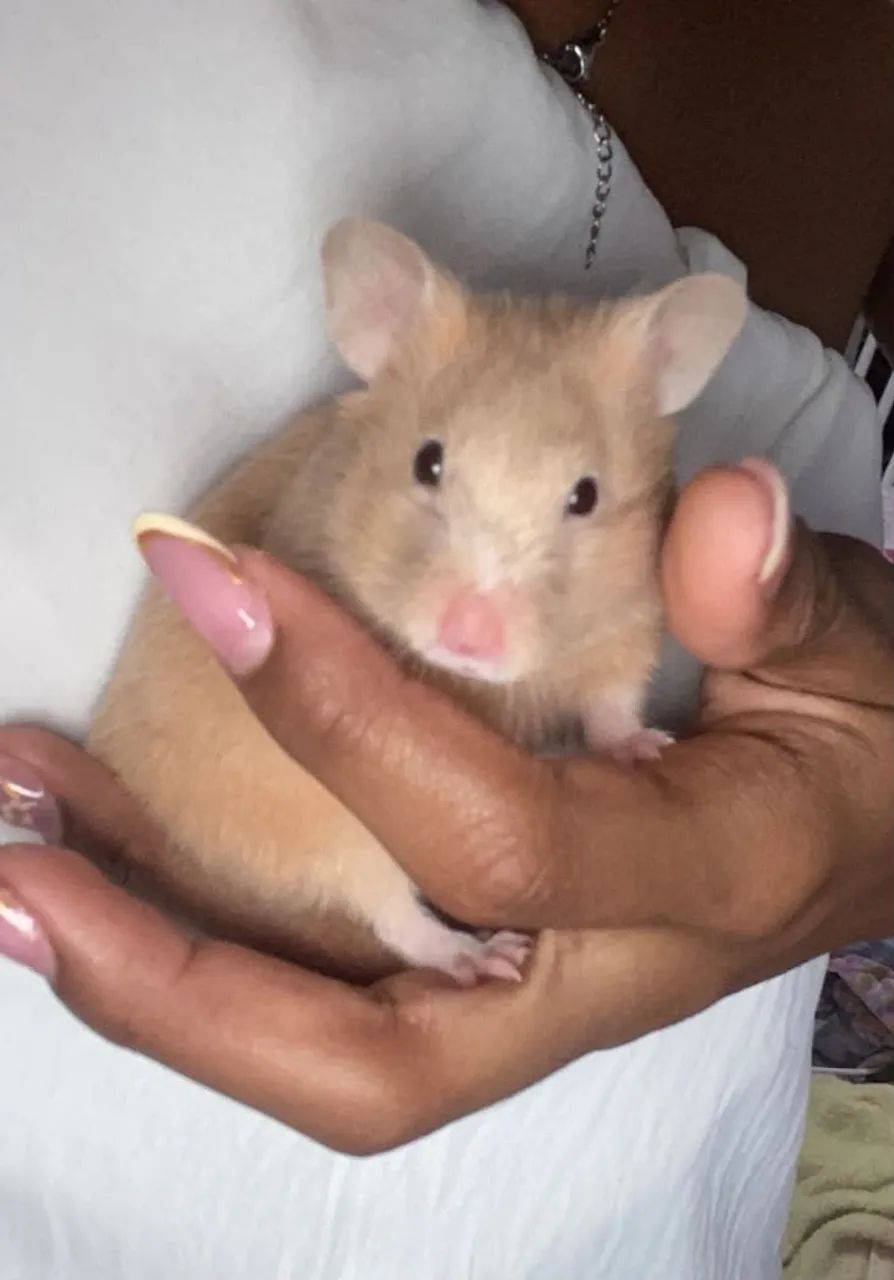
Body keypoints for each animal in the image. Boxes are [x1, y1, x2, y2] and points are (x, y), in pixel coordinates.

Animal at [88, 218, 746, 984]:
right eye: (426, 462)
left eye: (585, 496)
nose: (468, 639)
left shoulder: (628, 626)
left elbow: (612, 708)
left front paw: (648, 751)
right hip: (321, 827)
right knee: (392, 915)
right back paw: (487, 958)